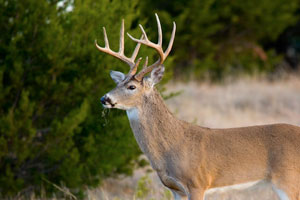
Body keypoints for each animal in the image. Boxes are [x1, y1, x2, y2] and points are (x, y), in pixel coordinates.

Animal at [96, 14, 300, 200]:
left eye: (132, 87)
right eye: (117, 83)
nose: (104, 98)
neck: (171, 147)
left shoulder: (197, 183)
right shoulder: (175, 189)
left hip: (288, 180)